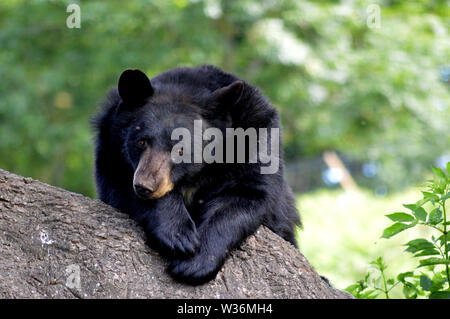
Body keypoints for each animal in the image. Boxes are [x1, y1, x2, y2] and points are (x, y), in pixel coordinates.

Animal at [92, 65, 300, 284]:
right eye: (141, 141)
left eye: (180, 150)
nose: (144, 186)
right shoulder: (110, 145)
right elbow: (119, 185)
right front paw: (179, 236)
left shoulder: (256, 141)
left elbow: (244, 197)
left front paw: (193, 264)